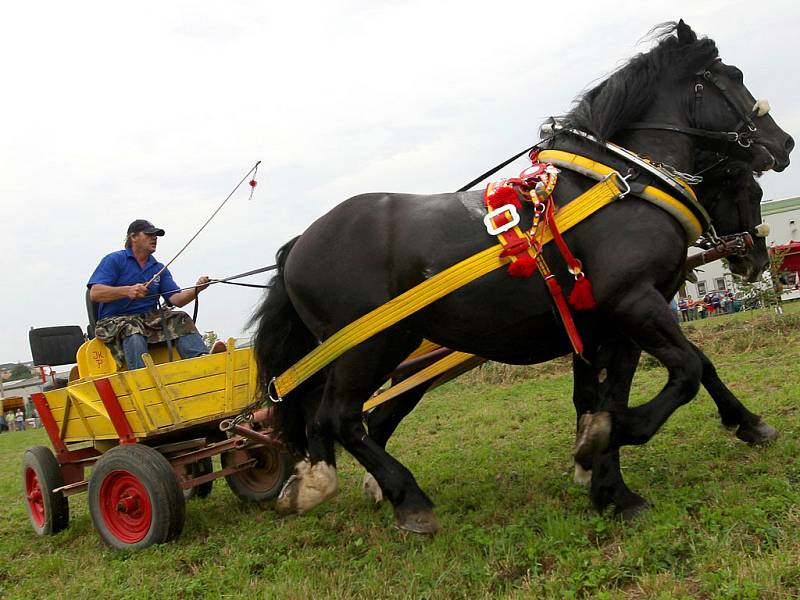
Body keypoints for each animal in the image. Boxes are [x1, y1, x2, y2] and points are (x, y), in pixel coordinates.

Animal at [253, 21, 792, 532]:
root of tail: (298, 244)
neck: (622, 184)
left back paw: (320, 481)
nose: (783, 144)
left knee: (340, 416)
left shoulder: (611, 325)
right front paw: (602, 444)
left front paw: (612, 486)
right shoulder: (635, 302)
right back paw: (407, 500)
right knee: (341, 417)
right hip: (371, 346)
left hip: (382, 350)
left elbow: (618, 392)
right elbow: (685, 372)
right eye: (734, 76)